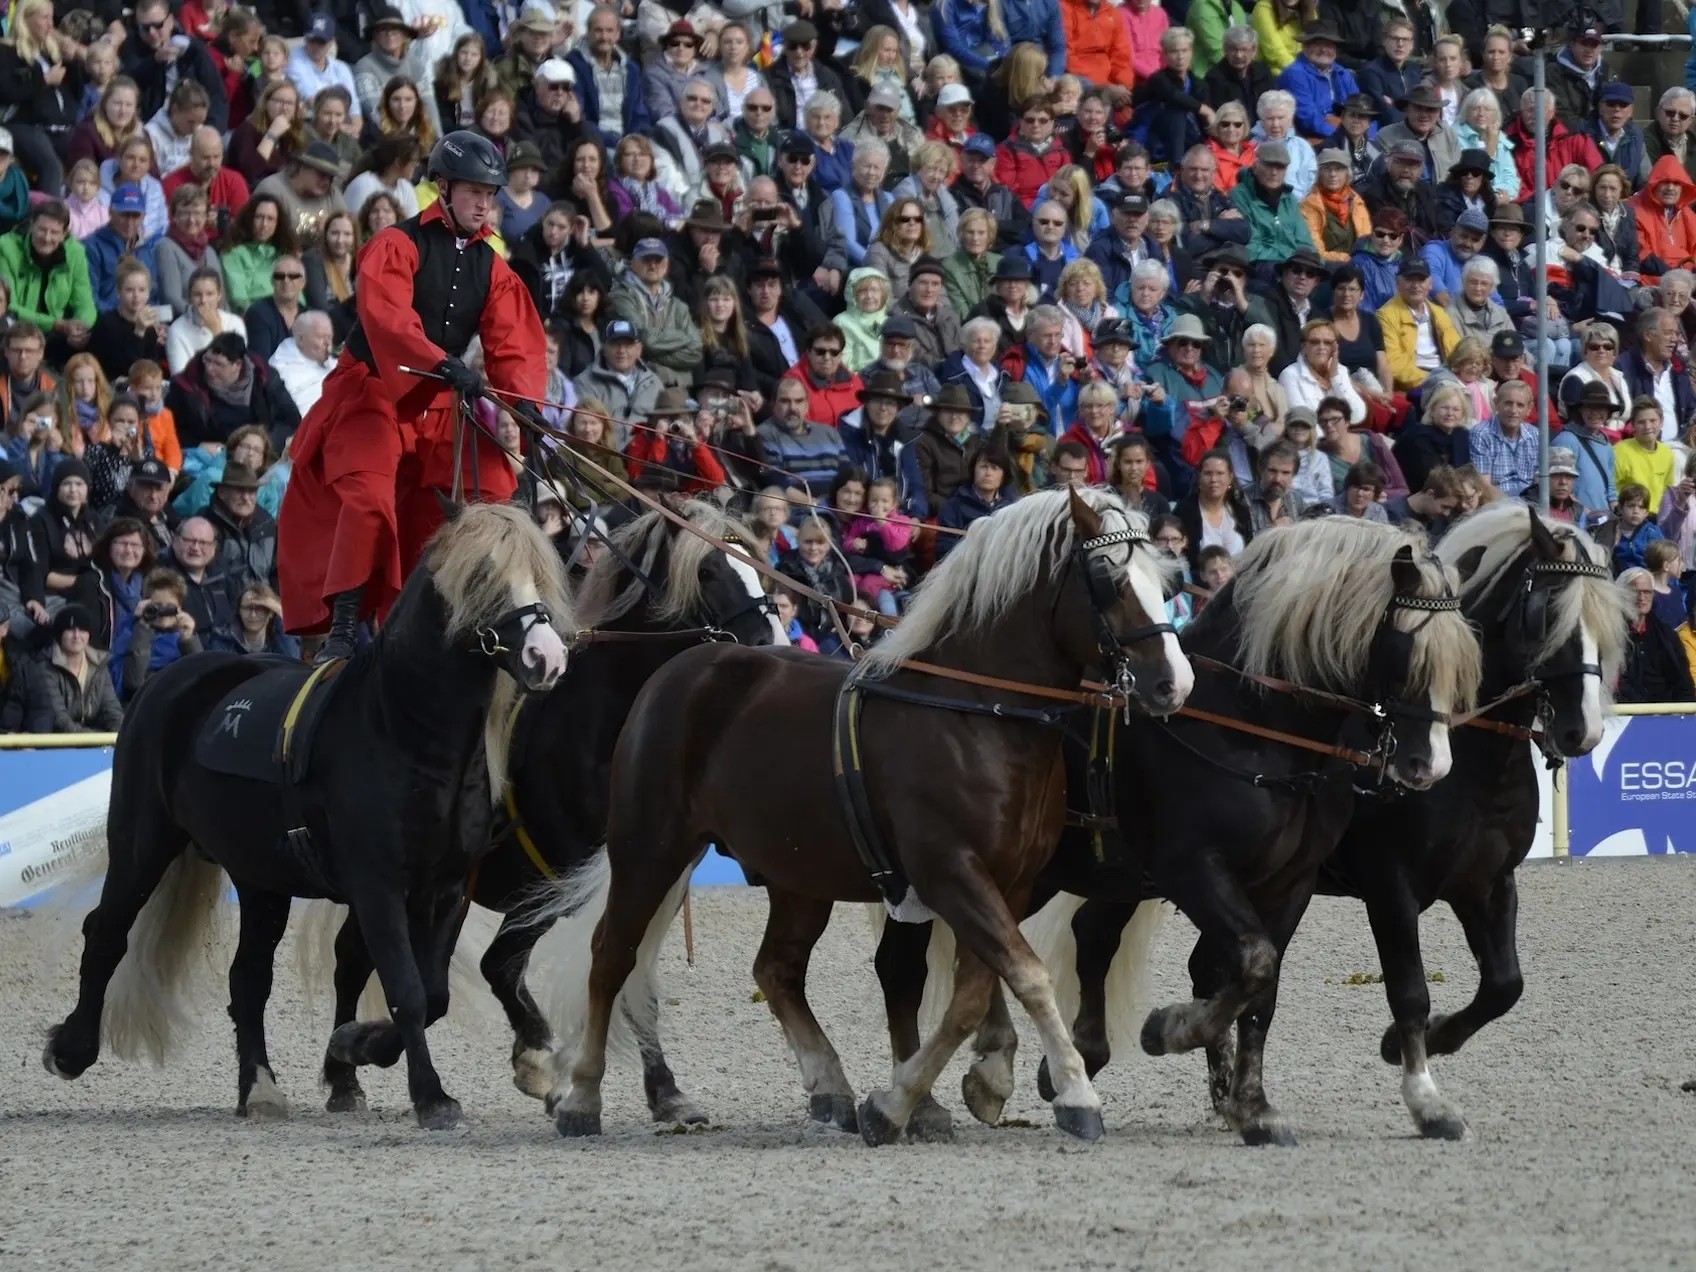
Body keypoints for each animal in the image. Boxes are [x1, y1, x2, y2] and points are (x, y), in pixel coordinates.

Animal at [43, 502, 573, 1132]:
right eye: (483, 575)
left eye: (543, 570)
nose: (547, 658)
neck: (402, 730)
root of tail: (167, 684)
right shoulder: (376, 886)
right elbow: (408, 989)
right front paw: (430, 1096)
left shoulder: (447, 888)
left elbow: (434, 992)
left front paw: (356, 1047)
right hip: (141, 843)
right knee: (105, 934)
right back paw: (71, 1050)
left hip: (260, 880)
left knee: (247, 980)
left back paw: (259, 1089)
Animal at [305, 502, 780, 1119]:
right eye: (707, 571)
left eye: (758, 567)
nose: (772, 643)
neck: (606, 728)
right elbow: (434, 988)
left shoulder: (634, 879)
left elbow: (627, 975)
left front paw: (663, 1091)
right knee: (360, 959)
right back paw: (345, 1074)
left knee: (488, 964)